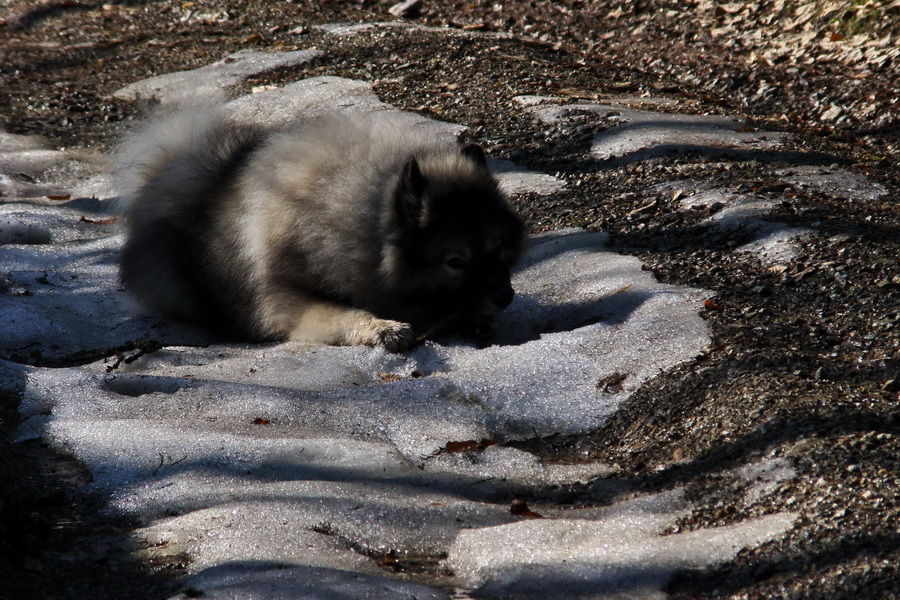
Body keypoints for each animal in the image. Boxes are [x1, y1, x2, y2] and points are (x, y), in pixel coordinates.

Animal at [115, 109, 524, 352]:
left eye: (498, 249)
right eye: (456, 262)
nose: (505, 297)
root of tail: (165, 172)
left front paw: (477, 314)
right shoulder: (288, 301)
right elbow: (345, 314)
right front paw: (384, 327)